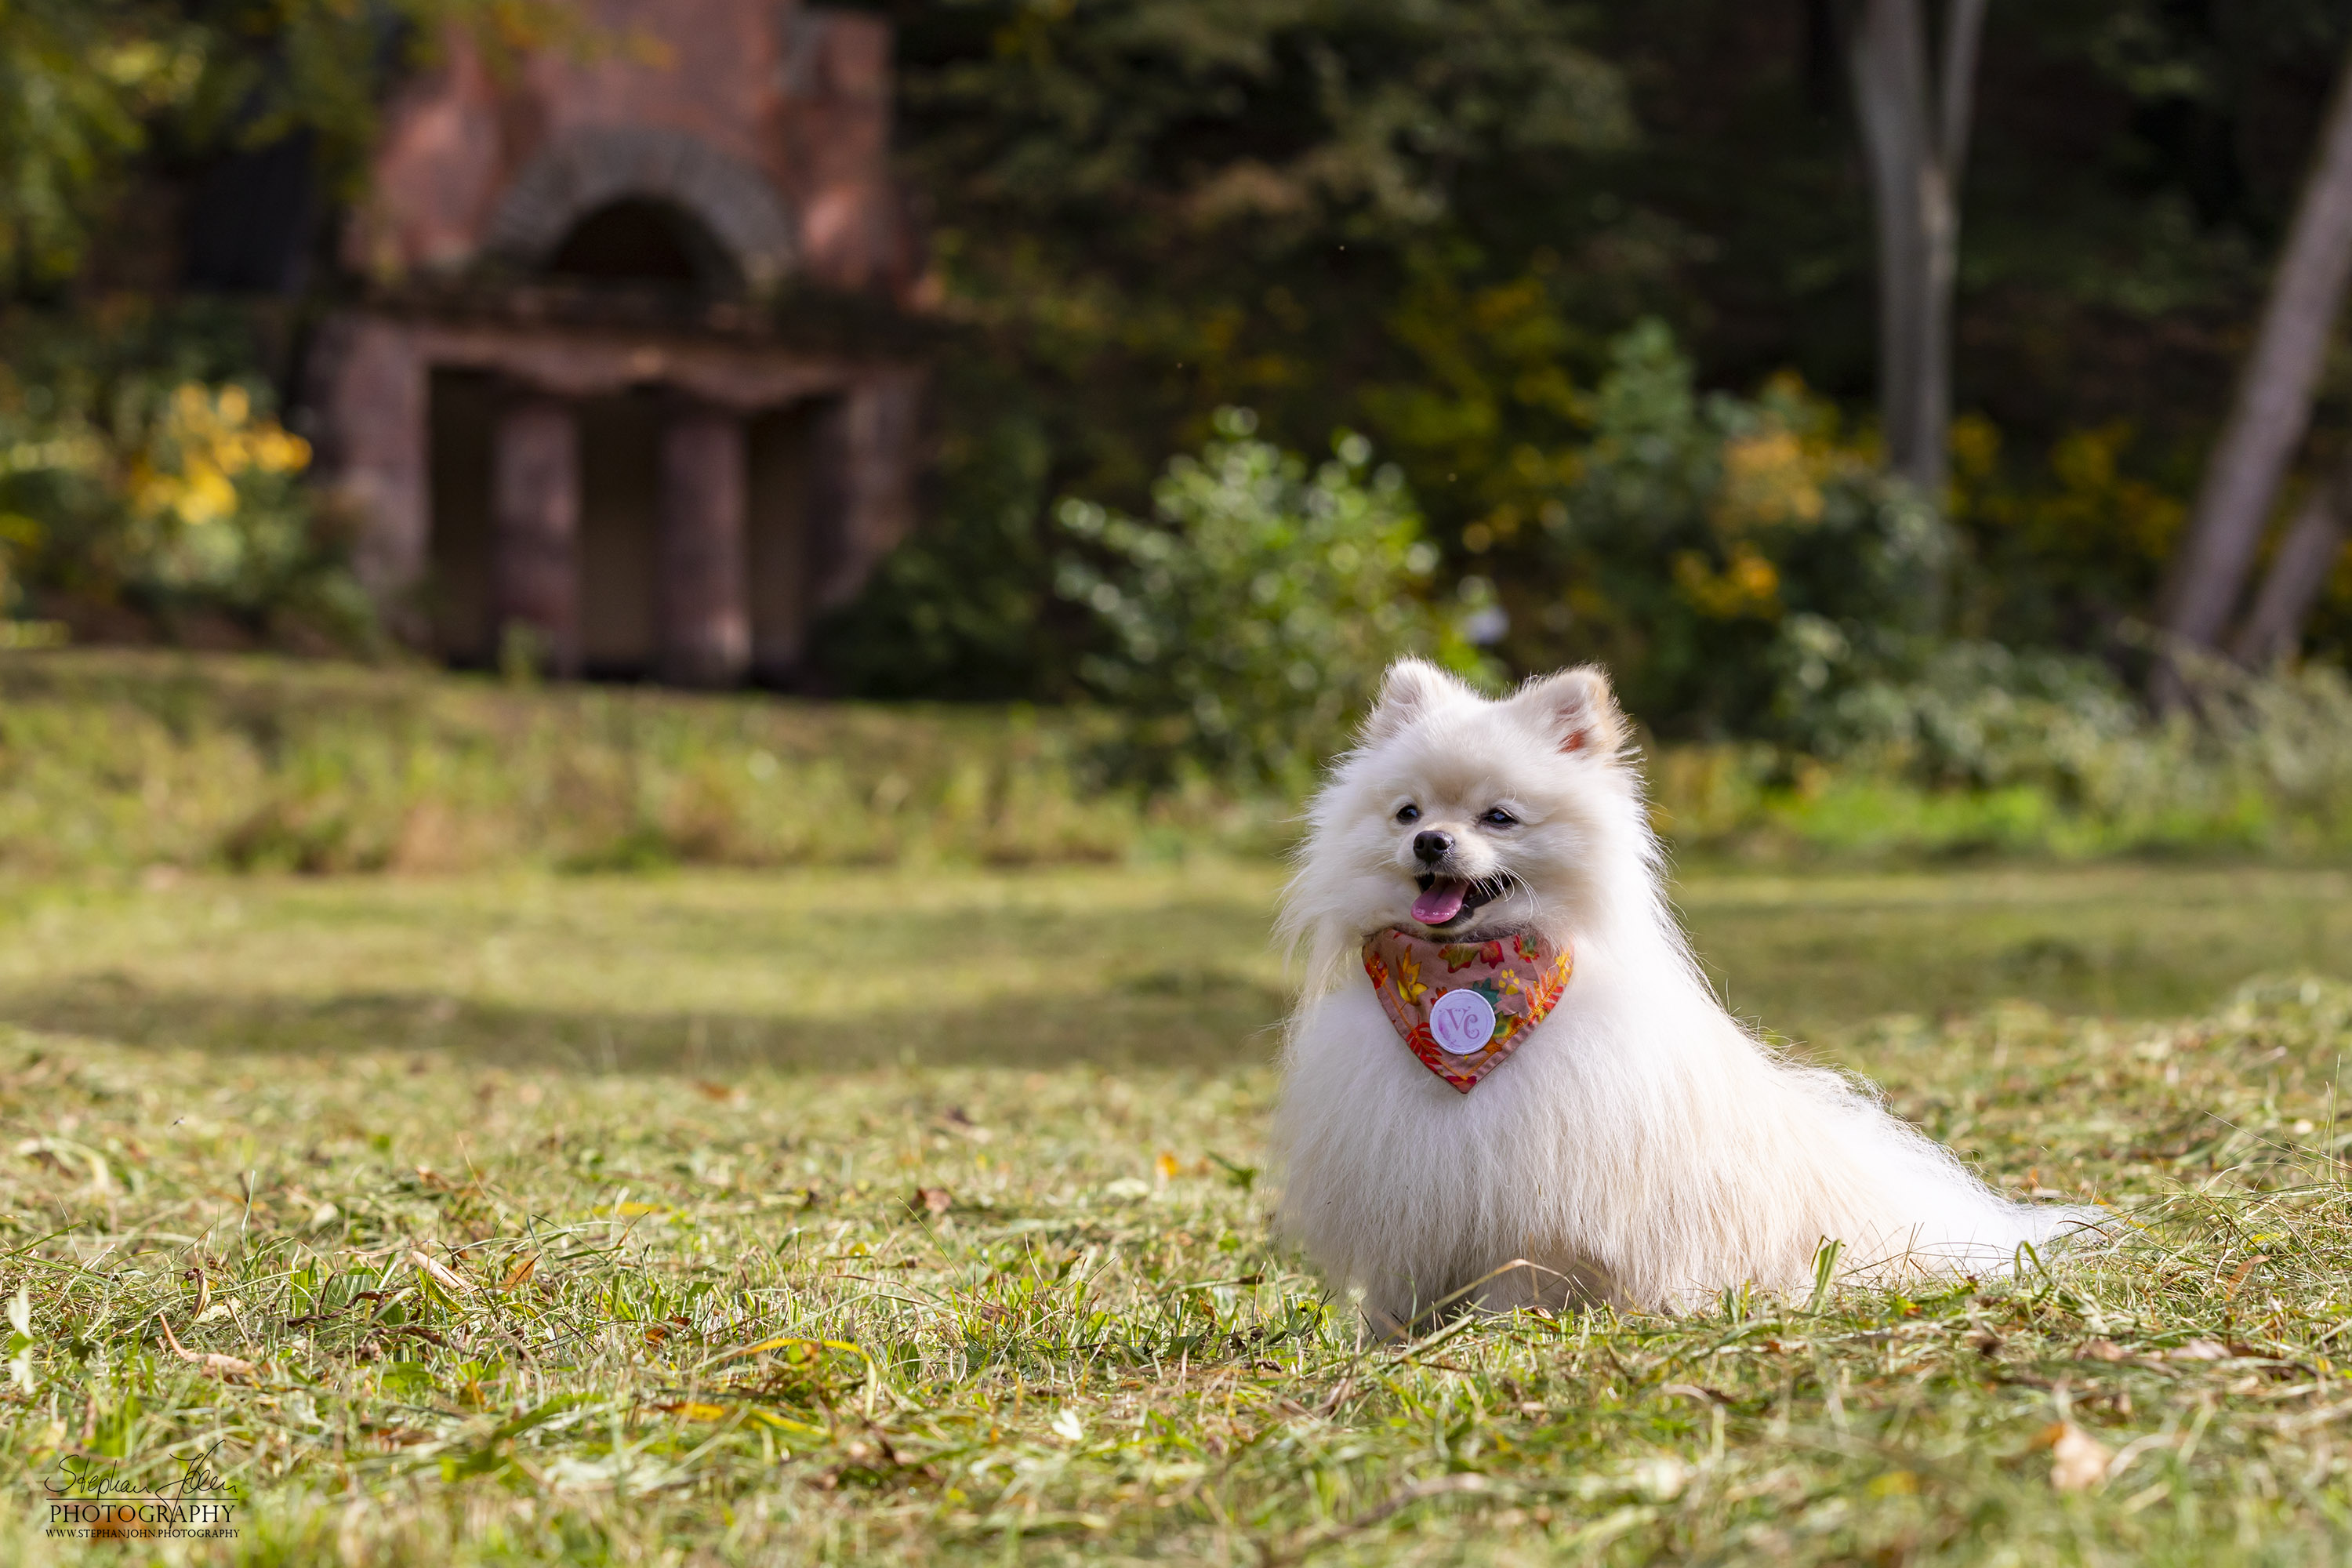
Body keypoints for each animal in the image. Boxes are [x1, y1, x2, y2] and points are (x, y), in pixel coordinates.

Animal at [1279, 658, 2107, 1335]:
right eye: (1408, 813)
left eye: (1500, 817)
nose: (1431, 843)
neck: (1461, 980)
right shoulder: (1405, 1193)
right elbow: (1398, 1286)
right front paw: (1385, 1342)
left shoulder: (1535, 1203)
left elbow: (1515, 1279)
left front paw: (1488, 1336)